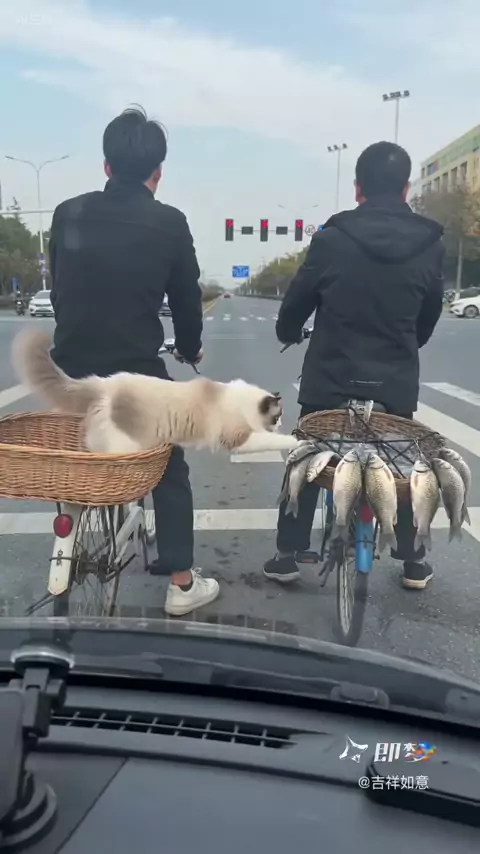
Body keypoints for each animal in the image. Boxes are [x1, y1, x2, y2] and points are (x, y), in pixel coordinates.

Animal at [12, 329, 300, 456]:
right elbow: (277, 440)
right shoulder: (239, 438)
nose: (282, 423)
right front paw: (298, 441)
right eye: (277, 418)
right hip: (126, 445)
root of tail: (104, 383)